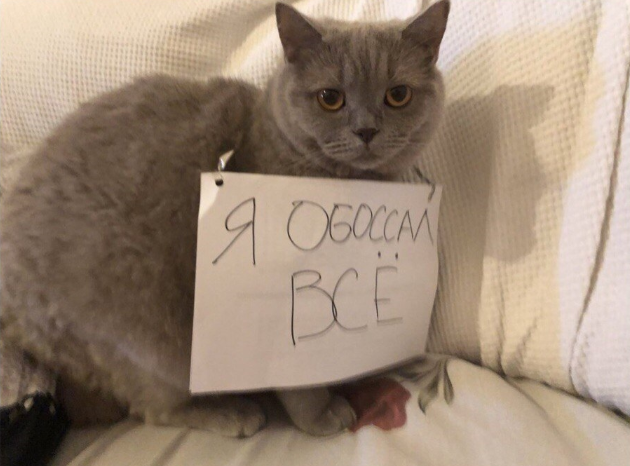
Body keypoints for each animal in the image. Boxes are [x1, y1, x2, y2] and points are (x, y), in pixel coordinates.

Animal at [0, 1, 449, 437]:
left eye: (398, 95)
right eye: (330, 98)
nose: (366, 130)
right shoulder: (277, 297)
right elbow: (295, 374)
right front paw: (321, 415)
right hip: (142, 347)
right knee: (153, 409)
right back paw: (234, 413)